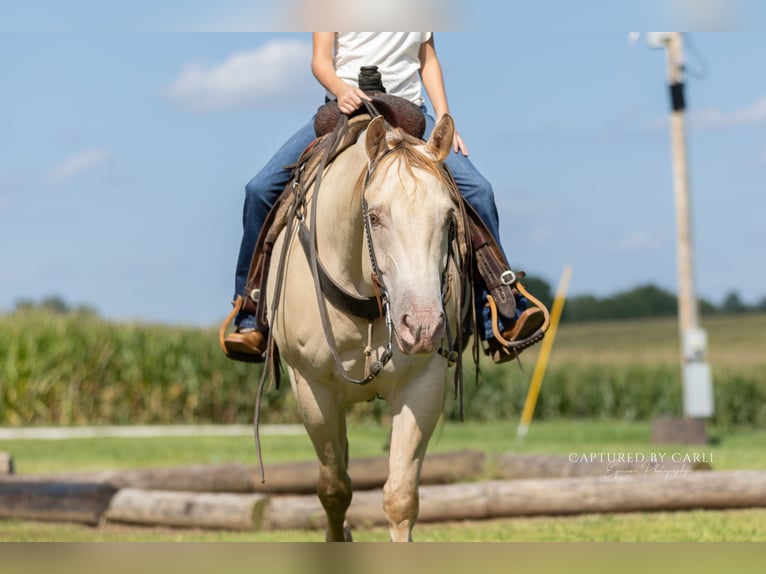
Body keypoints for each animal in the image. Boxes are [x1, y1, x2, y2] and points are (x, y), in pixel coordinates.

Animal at [265, 112, 467, 541]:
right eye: (373, 216)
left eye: (449, 219)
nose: (421, 327)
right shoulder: (312, 390)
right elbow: (334, 489)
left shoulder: (422, 385)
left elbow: (401, 497)